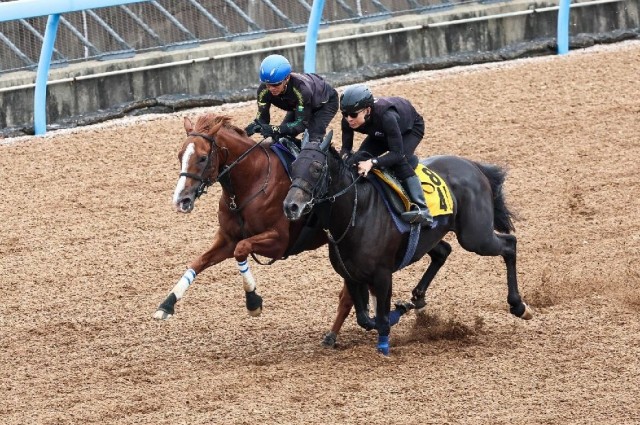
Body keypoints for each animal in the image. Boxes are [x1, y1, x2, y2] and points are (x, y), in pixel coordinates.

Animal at [153, 112, 330, 318]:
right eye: (180, 155)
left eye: (203, 158)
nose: (180, 200)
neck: (252, 182)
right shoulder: (228, 238)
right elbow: (199, 261)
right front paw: (167, 302)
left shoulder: (280, 241)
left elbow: (241, 249)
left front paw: (252, 301)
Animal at [284, 137, 536, 354]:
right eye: (294, 165)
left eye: (317, 168)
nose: (291, 206)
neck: (357, 213)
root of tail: (473, 166)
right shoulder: (351, 276)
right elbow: (366, 319)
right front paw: (400, 309)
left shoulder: (382, 275)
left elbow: (381, 318)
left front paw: (385, 343)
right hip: (435, 236)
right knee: (443, 252)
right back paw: (418, 297)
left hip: (475, 236)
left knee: (509, 244)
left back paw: (519, 306)